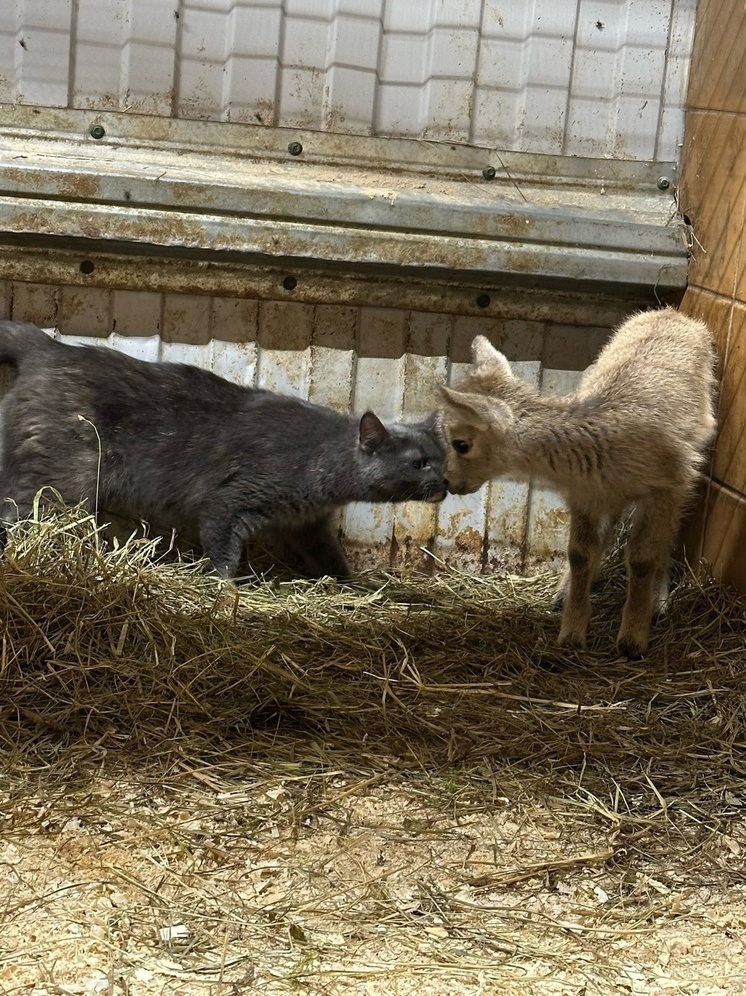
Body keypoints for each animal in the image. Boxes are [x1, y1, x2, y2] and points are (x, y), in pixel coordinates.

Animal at [0, 322, 444, 580]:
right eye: (418, 463)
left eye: (442, 459)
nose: (444, 484)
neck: (321, 459)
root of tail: (48, 348)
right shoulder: (227, 506)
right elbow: (224, 556)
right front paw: (225, 590)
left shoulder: (309, 526)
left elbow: (331, 560)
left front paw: (349, 587)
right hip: (63, 481)